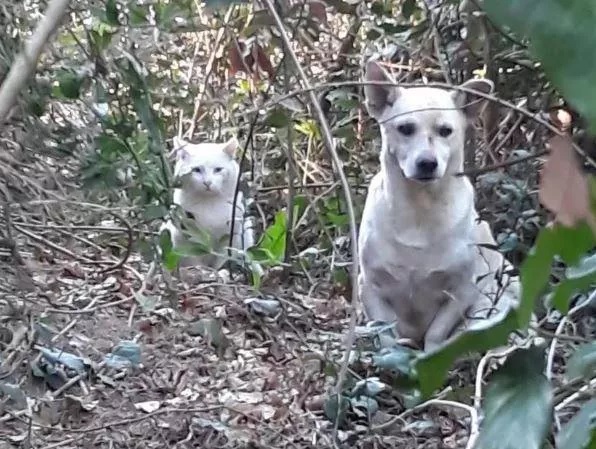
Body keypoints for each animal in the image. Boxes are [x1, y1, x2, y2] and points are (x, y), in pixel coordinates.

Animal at [162, 136, 258, 270]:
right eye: (196, 170)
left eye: (218, 170)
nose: (207, 182)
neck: (209, 203)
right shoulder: (187, 236)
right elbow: (194, 258)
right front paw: (202, 270)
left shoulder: (232, 236)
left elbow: (221, 259)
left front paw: (216, 270)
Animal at [356, 60, 520, 350]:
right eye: (405, 129)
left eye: (446, 131)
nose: (427, 163)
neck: (420, 209)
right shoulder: (369, 288)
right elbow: (386, 334)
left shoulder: (462, 291)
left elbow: (436, 334)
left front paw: (430, 356)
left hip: (492, 306)